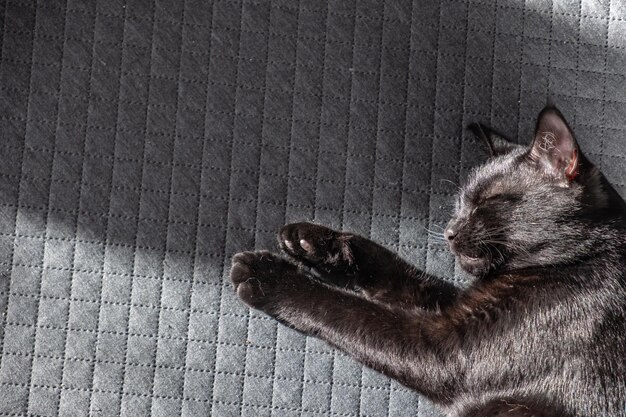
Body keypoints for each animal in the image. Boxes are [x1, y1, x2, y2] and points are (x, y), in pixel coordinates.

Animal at [229, 106, 624, 416]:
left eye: (487, 202)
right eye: (460, 203)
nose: (449, 231)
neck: (578, 262)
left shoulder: (443, 348)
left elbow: (347, 311)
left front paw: (270, 276)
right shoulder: (453, 308)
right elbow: (395, 271)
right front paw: (315, 242)